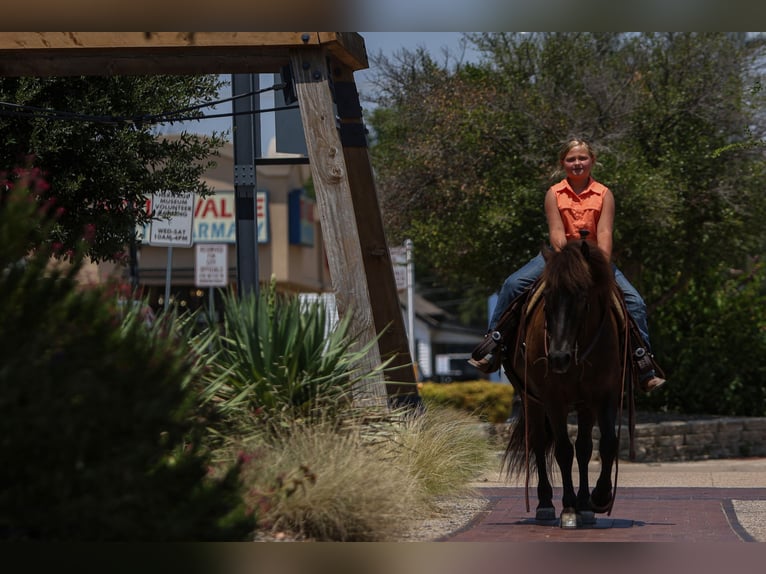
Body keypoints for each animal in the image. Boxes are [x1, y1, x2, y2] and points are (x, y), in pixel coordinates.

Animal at [504, 240, 632, 532]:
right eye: (547, 299)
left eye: (583, 297)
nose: (558, 357)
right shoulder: (553, 399)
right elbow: (563, 449)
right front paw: (569, 508)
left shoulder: (603, 395)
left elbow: (605, 443)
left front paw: (598, 498)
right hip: (531, 400)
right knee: (539, 443)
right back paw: (545, 504)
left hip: (584, 405)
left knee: (583, 447)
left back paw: (585, 504)